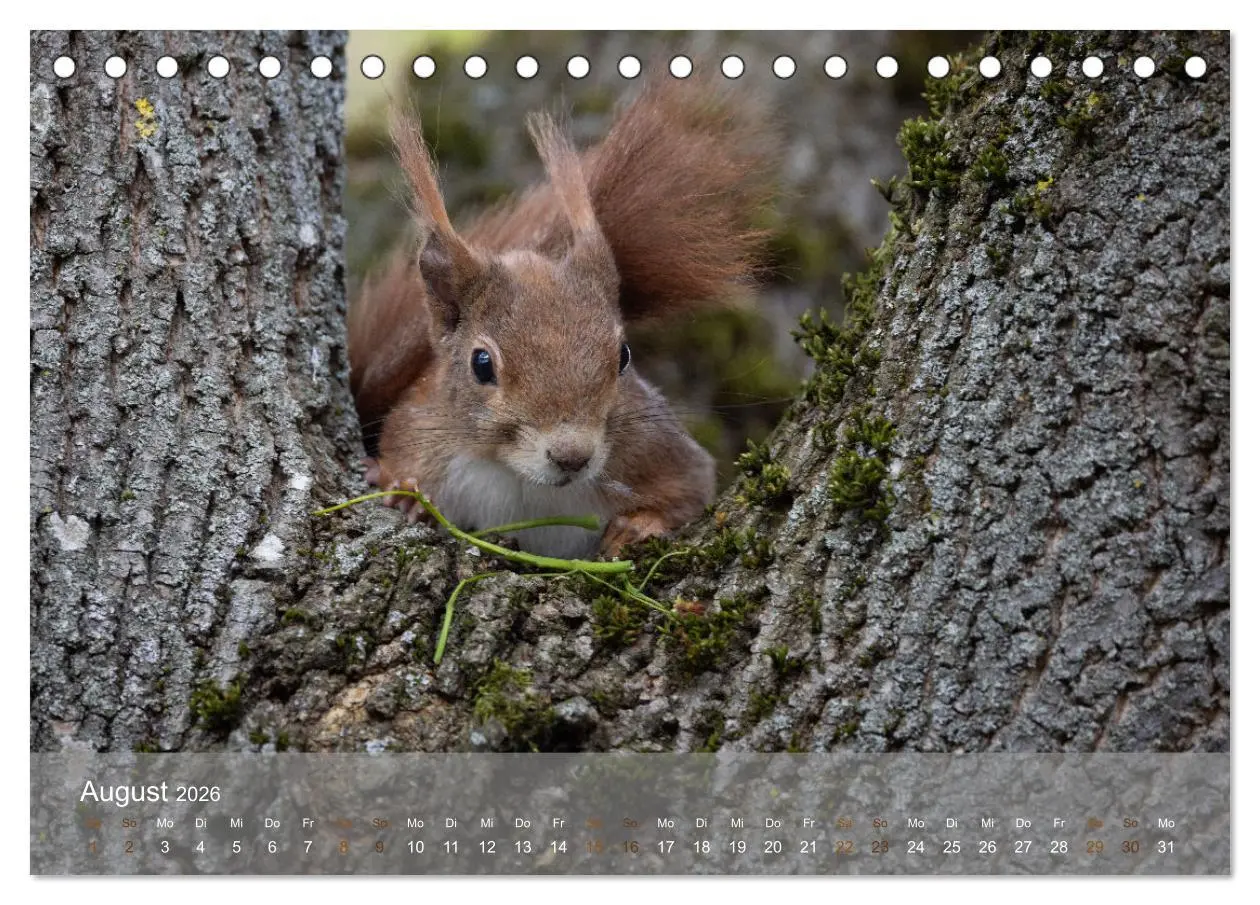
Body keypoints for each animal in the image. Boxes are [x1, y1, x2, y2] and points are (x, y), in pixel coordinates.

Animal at [347, 74, 779, 559]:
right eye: (482, 364)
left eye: (623, 355)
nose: (572, 456)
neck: (520, 479)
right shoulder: (417, 428)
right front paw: (405, 491)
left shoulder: (662, 452)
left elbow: (694, 491)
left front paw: (639, 525)